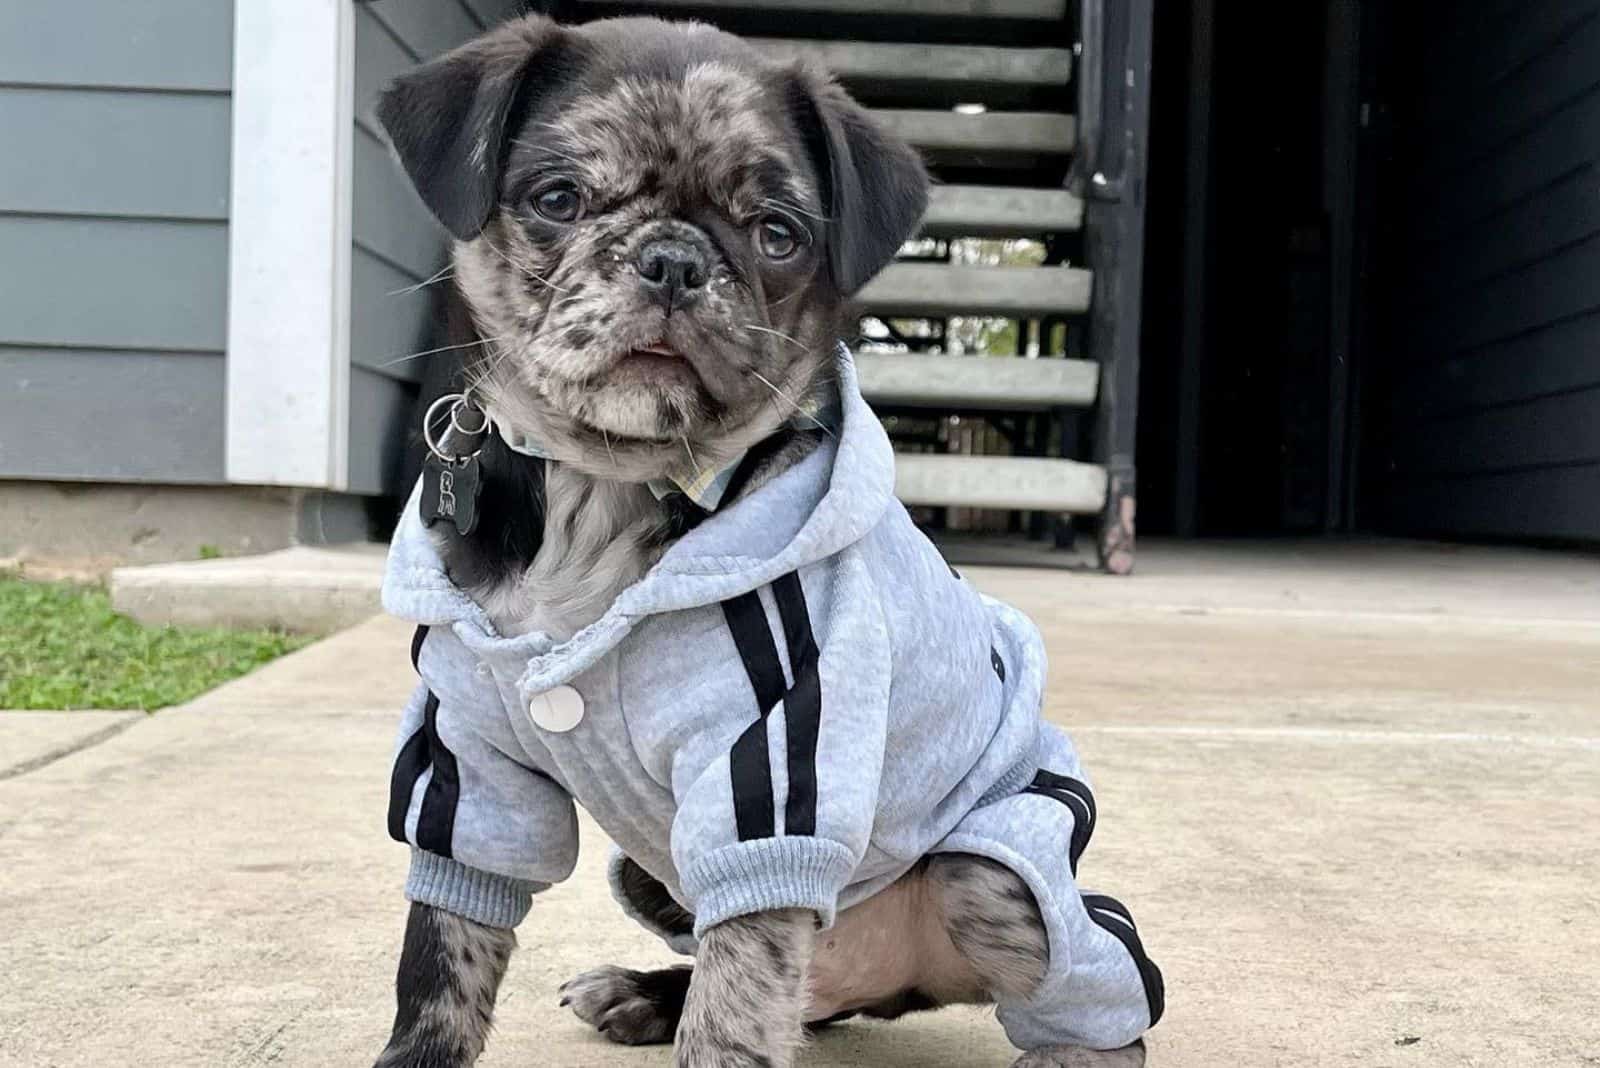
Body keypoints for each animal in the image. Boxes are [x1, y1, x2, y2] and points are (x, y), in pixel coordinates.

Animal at [369, 14, 1158, 1068]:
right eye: (558, 198)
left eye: (777, 234)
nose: (673, 260)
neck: (605, 491)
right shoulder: (469, 758)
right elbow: (442, 960)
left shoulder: (771, 779)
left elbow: (735, 1009)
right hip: (648, 874)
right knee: (785, 988)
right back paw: (649, 993)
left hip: (1002, 882)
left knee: (1090, 995)